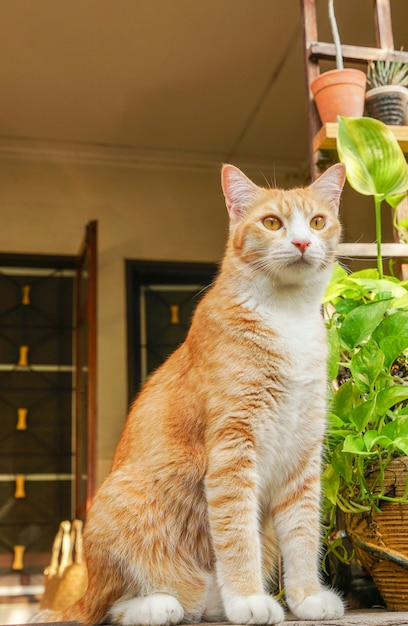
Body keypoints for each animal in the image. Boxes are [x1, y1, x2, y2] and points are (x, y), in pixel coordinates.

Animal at [33, 163, 348, 620]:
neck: (286, 317)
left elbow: (303, 535)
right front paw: (248, 598)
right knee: (109, 607)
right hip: (117, 509)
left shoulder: (303, 454)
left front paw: (305, 598)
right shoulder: (232, 448)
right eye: (273, 223)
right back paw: (163, 605)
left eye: (318, 222)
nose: (303, 241)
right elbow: (237, 536)